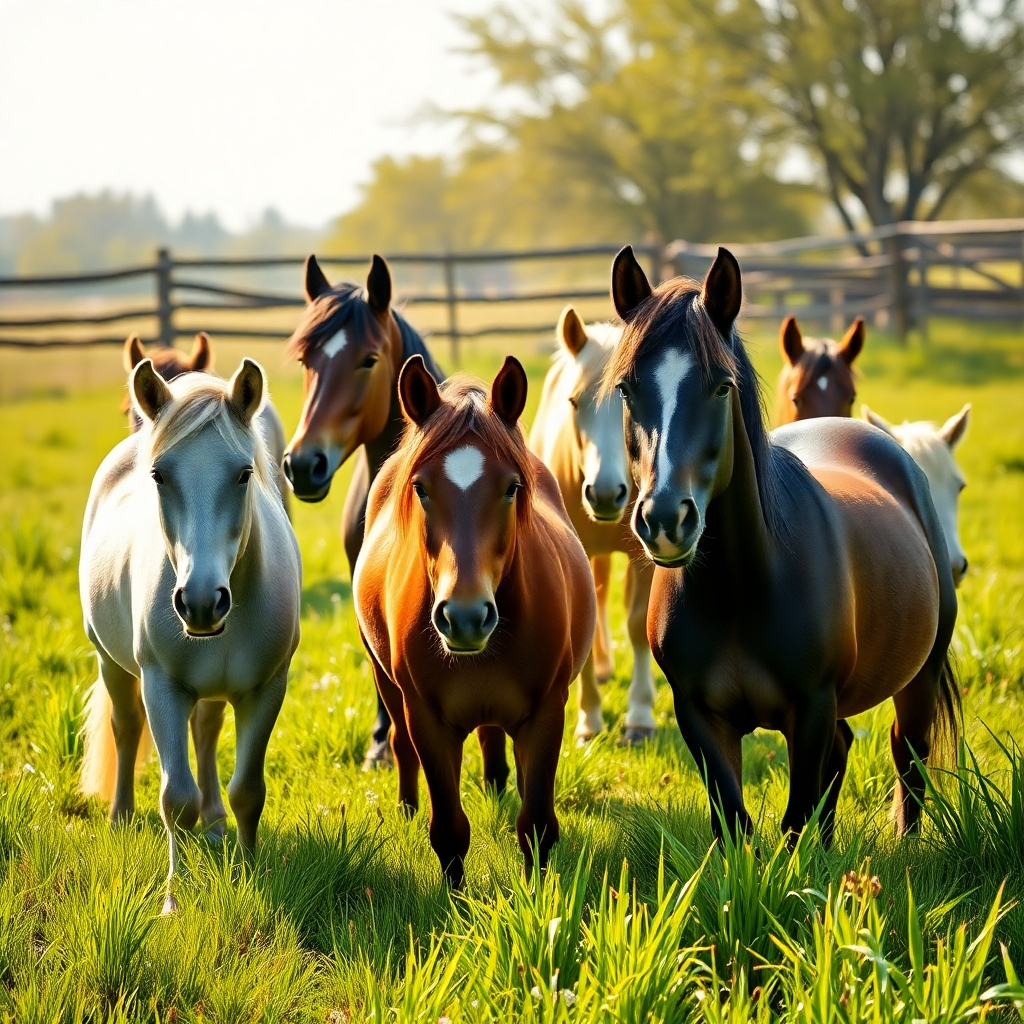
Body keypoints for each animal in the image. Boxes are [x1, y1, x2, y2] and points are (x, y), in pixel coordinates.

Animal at [80, 358, 301, 913]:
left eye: (244, 474)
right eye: (159, 475)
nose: (201, 601)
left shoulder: (265, 689)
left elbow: (248, 789)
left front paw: (249, 868)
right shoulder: (163, 687)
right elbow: (175, 798)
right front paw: (173, 898)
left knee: (205, 732)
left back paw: (216, 821)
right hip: (111, 663)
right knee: (125, 726)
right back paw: (120, 816)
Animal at [353, 355, 595, 886]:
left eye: (511, 488)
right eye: (420, 488)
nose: (464, 617)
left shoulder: (548, 710)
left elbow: (537, 823)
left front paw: (537, 894)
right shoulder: (426, 718)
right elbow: (448, 829)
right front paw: (456, 901)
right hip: (384, 681)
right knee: (400, 745)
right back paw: (405, 809)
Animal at [530, 306, 656, 745]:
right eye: (574, 402)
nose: (603, 494)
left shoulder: (644, 559)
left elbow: (637, 624)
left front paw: (640, 717)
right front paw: (589, 720)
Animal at [604, 245, 959, 843]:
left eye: (721, 386)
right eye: (627, 389)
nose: (666, 518)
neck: (741, 591)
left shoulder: (811, 709)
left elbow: (797, 821)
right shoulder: (700, 716)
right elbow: (735, 821)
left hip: (921, 677)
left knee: (907, 754)